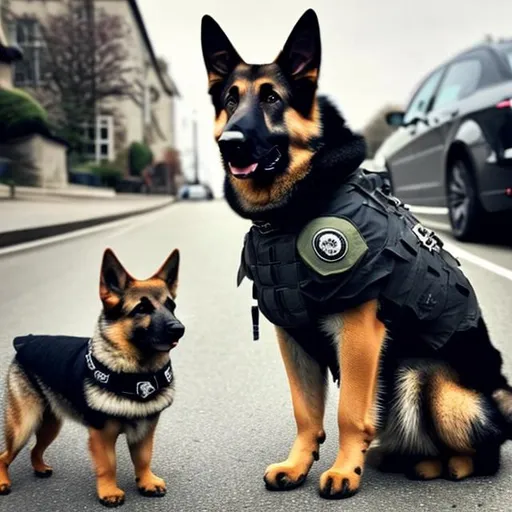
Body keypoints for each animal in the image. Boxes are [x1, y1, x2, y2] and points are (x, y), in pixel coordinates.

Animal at [0, 249, 184, 508]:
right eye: (141, 309)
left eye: (171, 306)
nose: (179, 328)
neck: (136, 375)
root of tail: (26, 340)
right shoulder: (101, 436)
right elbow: (108, 465)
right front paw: (108, 491)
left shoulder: (145, 431)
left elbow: (143, 458)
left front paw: (146, 481)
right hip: (23, 426)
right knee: (4, 455)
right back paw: (3, 481)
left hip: (50, 425)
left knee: (35, 449)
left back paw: (40, 467)